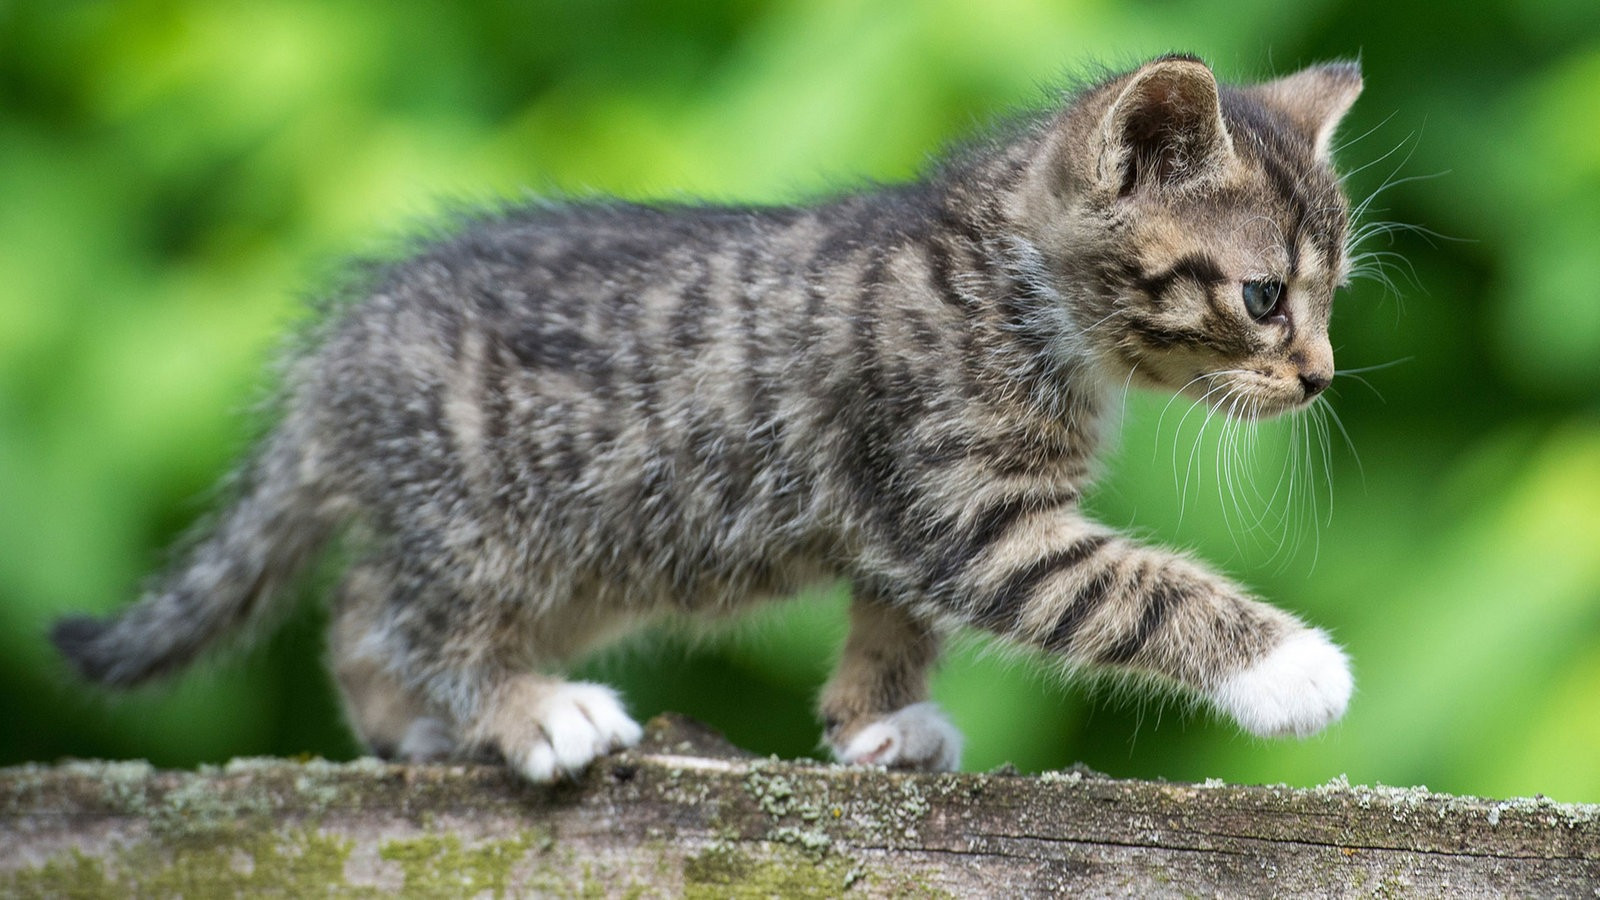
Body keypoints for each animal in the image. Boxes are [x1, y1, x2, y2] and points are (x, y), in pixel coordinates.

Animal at [59, 56, 1363, 775]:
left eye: (1331, 294)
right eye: (1264, 297)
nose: (1319, 375)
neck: (1004, 282)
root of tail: (339, 352)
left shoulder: (905, 518)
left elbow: (894, 620)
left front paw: (873, 724)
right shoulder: (966, 509)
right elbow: (1129, 588)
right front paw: (1290, 668)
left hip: (582, 559)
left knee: (359, 607)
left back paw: (419, 726)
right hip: (488, 518)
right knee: (407, 609)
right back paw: (525, 713)